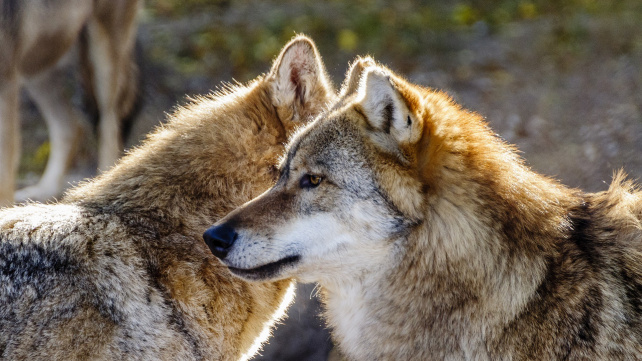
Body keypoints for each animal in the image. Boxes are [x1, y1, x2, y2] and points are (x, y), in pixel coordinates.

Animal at [0, 0, 141, 207]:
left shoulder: (6, 80)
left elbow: (4, 175)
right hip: (36, 66)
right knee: (72, 126)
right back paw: (44, 193)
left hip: (103, 55)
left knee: (110, 128)